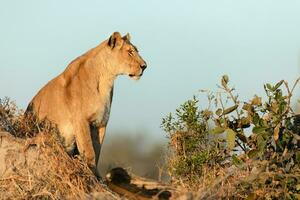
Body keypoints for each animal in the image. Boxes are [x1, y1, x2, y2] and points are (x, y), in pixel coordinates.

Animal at [25, 31, 147, 177]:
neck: (106, 80)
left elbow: (97, 150)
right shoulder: (81, 121)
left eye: (136, 51)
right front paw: (90, 173)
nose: (145, 66)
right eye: (130, 52)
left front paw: (97, 176)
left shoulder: (101, 123)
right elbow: (89, 151)